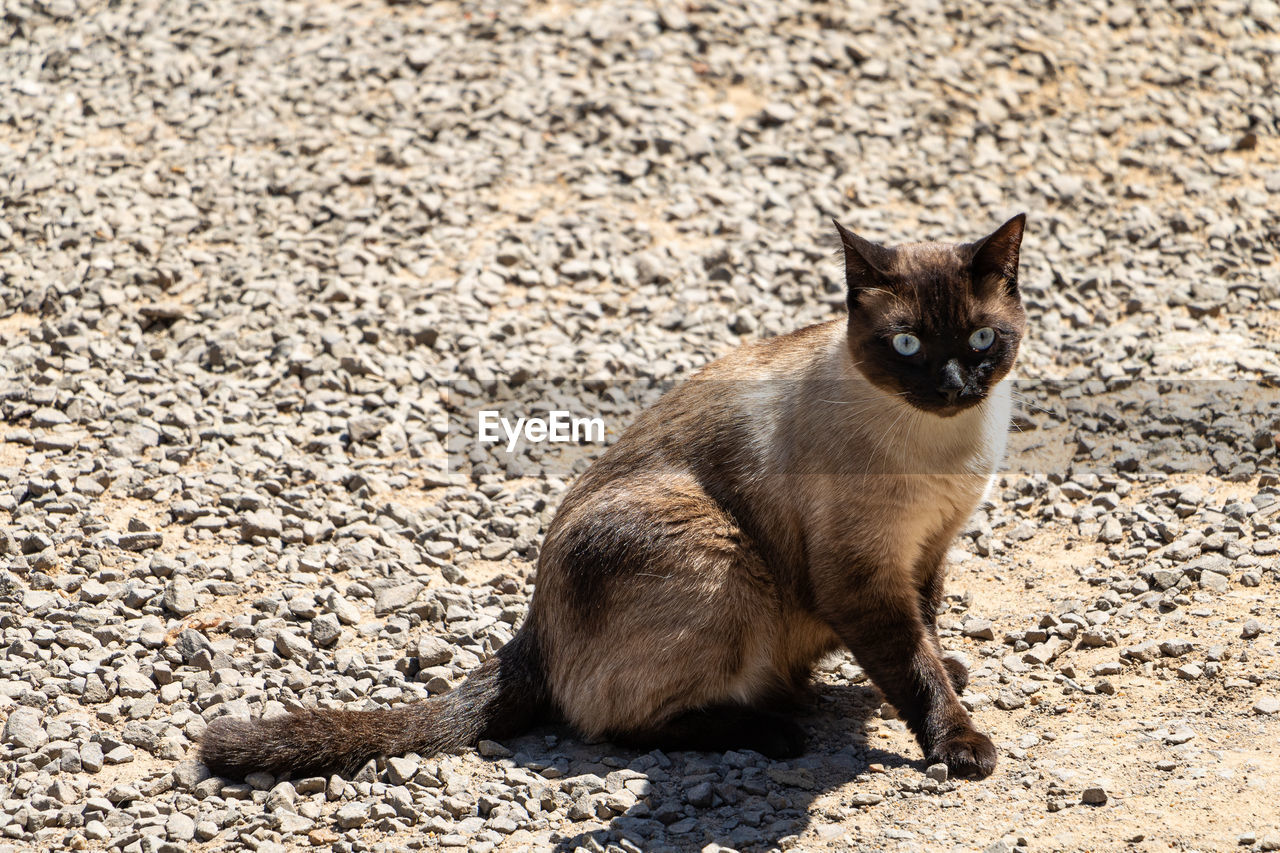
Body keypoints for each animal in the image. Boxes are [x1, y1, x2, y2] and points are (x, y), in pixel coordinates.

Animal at [199, 212, 1024, 778]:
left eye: (982, 340)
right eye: (908, 345)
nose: (953, 384)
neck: (947, 447)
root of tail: (534, 629)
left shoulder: (929, 549)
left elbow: (926, 631)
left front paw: (950, 674)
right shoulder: (862, 574)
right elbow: (909, 663)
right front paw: (959, 743)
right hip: (721, 557)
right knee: (614, 723)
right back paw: (773, 729)